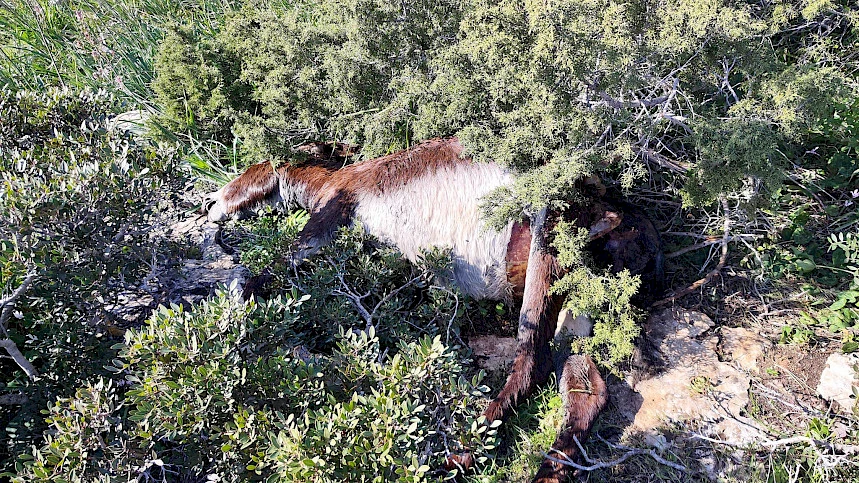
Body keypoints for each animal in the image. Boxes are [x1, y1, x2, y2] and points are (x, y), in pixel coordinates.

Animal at [205, 137, 660, 483]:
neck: (339, 177)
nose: (214, 202)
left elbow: (266, 273)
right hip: (578, 315)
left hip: (546, 245)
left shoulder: (326, 222)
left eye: (257, 166)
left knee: (534, 358)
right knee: (585, 386)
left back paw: (462, 453)